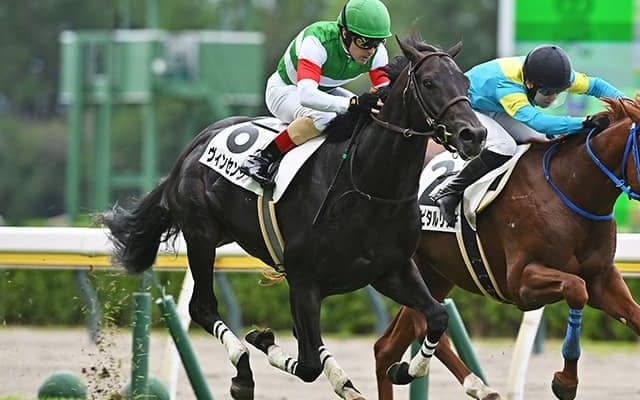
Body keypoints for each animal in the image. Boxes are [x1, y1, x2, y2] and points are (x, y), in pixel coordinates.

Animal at [99, 34, 486, 400]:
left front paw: (405, 370)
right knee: (202, 308)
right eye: (429, 82)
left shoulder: (391, 271)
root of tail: (195, 145)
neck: (367, 185)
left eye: (465, 82)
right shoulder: (304, 281)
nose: (474, 134)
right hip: (202, 235)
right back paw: (243, 373)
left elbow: (437, 316)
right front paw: (263, 342)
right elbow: (309, 363)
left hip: (225, 234)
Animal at [373, 96, 640, 400]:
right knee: (423, 326)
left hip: (436, 275)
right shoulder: (521, 283)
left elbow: (632, 314)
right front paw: (566, 381)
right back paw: (474, 384)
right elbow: (576, 289)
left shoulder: (602, 278)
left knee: (386, 347)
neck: (569, 189)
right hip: (412, 266)